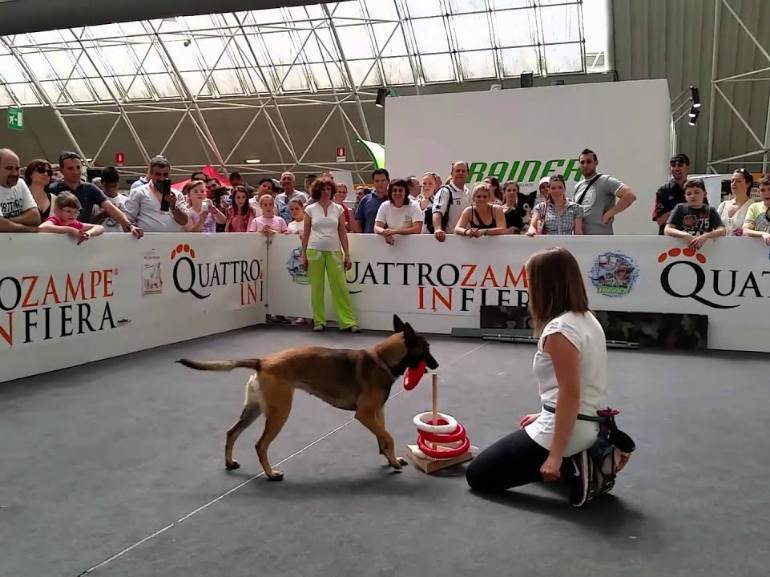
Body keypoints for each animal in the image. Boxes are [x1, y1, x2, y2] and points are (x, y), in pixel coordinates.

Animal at [176, 312, 436, 480]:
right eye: (427, 348)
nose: (437, 364)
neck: (382, 359)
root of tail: (262, 362)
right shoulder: (364, 415)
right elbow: (388, 436)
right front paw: (392, 460)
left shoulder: (377, 413)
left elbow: (383, 438)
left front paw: (391, 460)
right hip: (279, 414)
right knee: (260, 445)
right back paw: (271, 474)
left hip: (253, 410)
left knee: (232, 433)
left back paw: (230, 463)